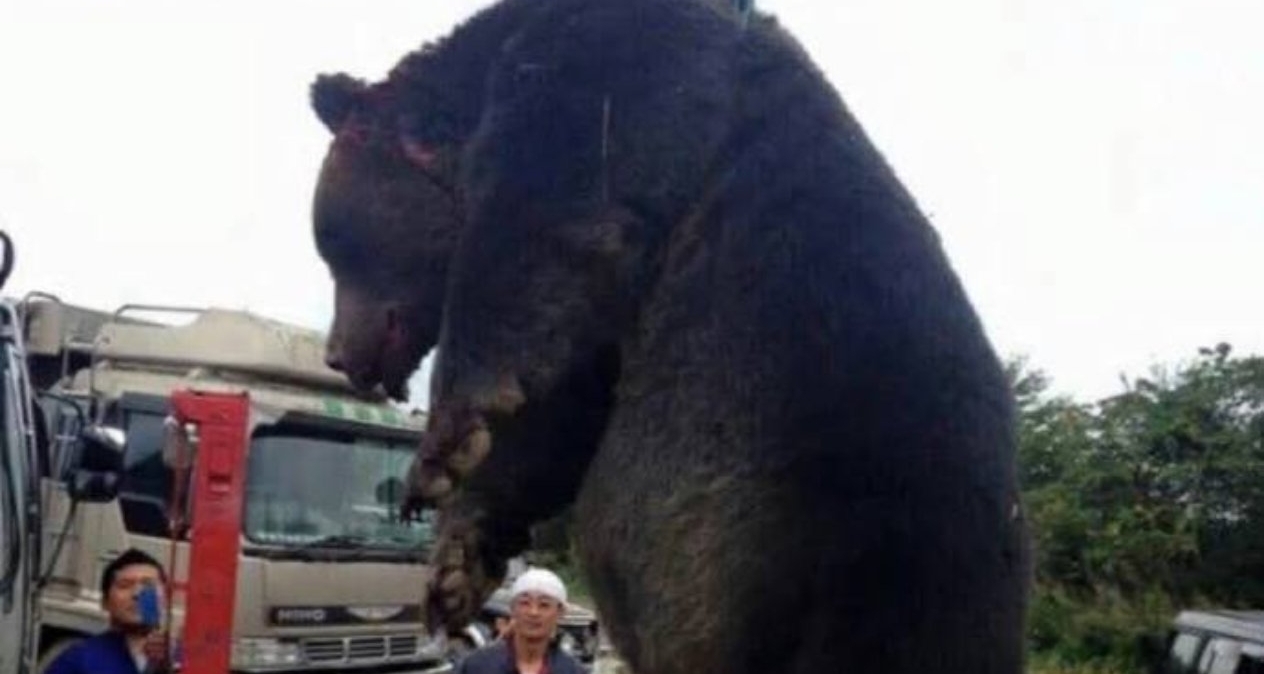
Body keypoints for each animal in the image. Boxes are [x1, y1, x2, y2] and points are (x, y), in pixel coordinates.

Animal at [309, 0, 1031, 672]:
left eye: (332, 247)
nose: (340, 353)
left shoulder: (630, 81)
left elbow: (547, 215)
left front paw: (439, 454)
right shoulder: (613, 328)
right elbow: (560, 412)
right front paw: (456, 565)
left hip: (842, 547)